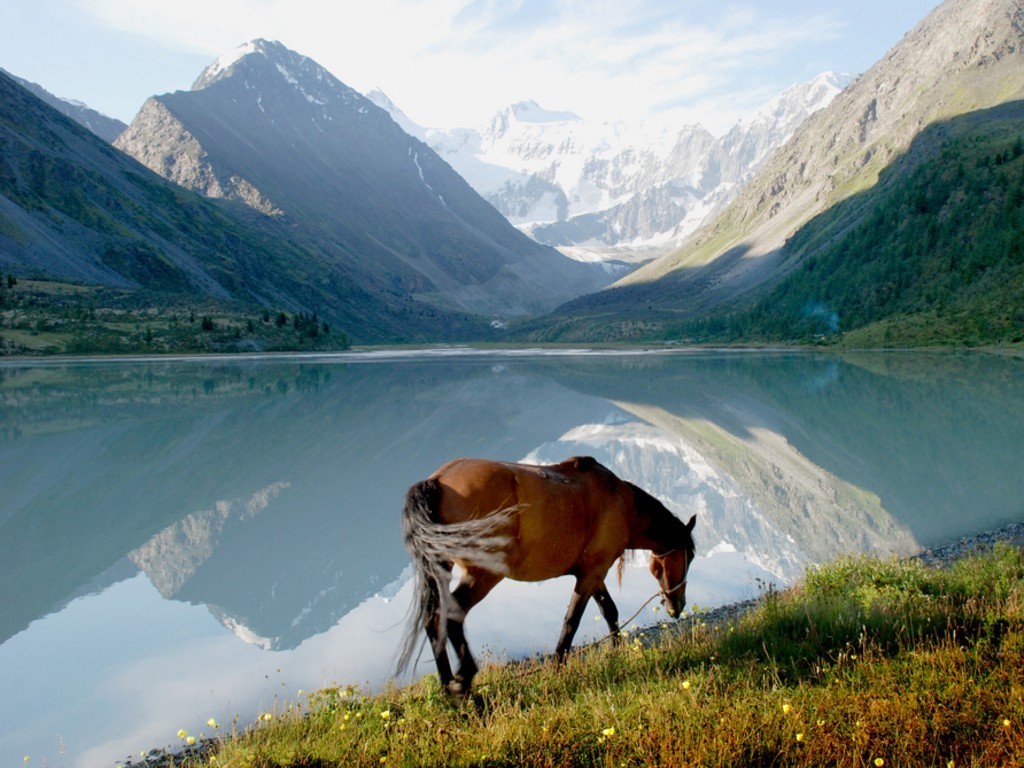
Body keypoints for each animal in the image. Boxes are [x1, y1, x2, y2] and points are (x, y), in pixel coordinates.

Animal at [391, 456, 696, 704]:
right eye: (690, 556)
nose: (677, 606)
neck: (620, 502)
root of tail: (437, 481)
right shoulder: (593, 573)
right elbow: (572, 621)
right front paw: (559, 667)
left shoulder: (593, 573)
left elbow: (609, 611)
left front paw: (616, 652)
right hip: (484, 575)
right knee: (452, 615)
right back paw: (464, 684)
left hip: (442, 568)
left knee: (433, 618)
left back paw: (447, 688)